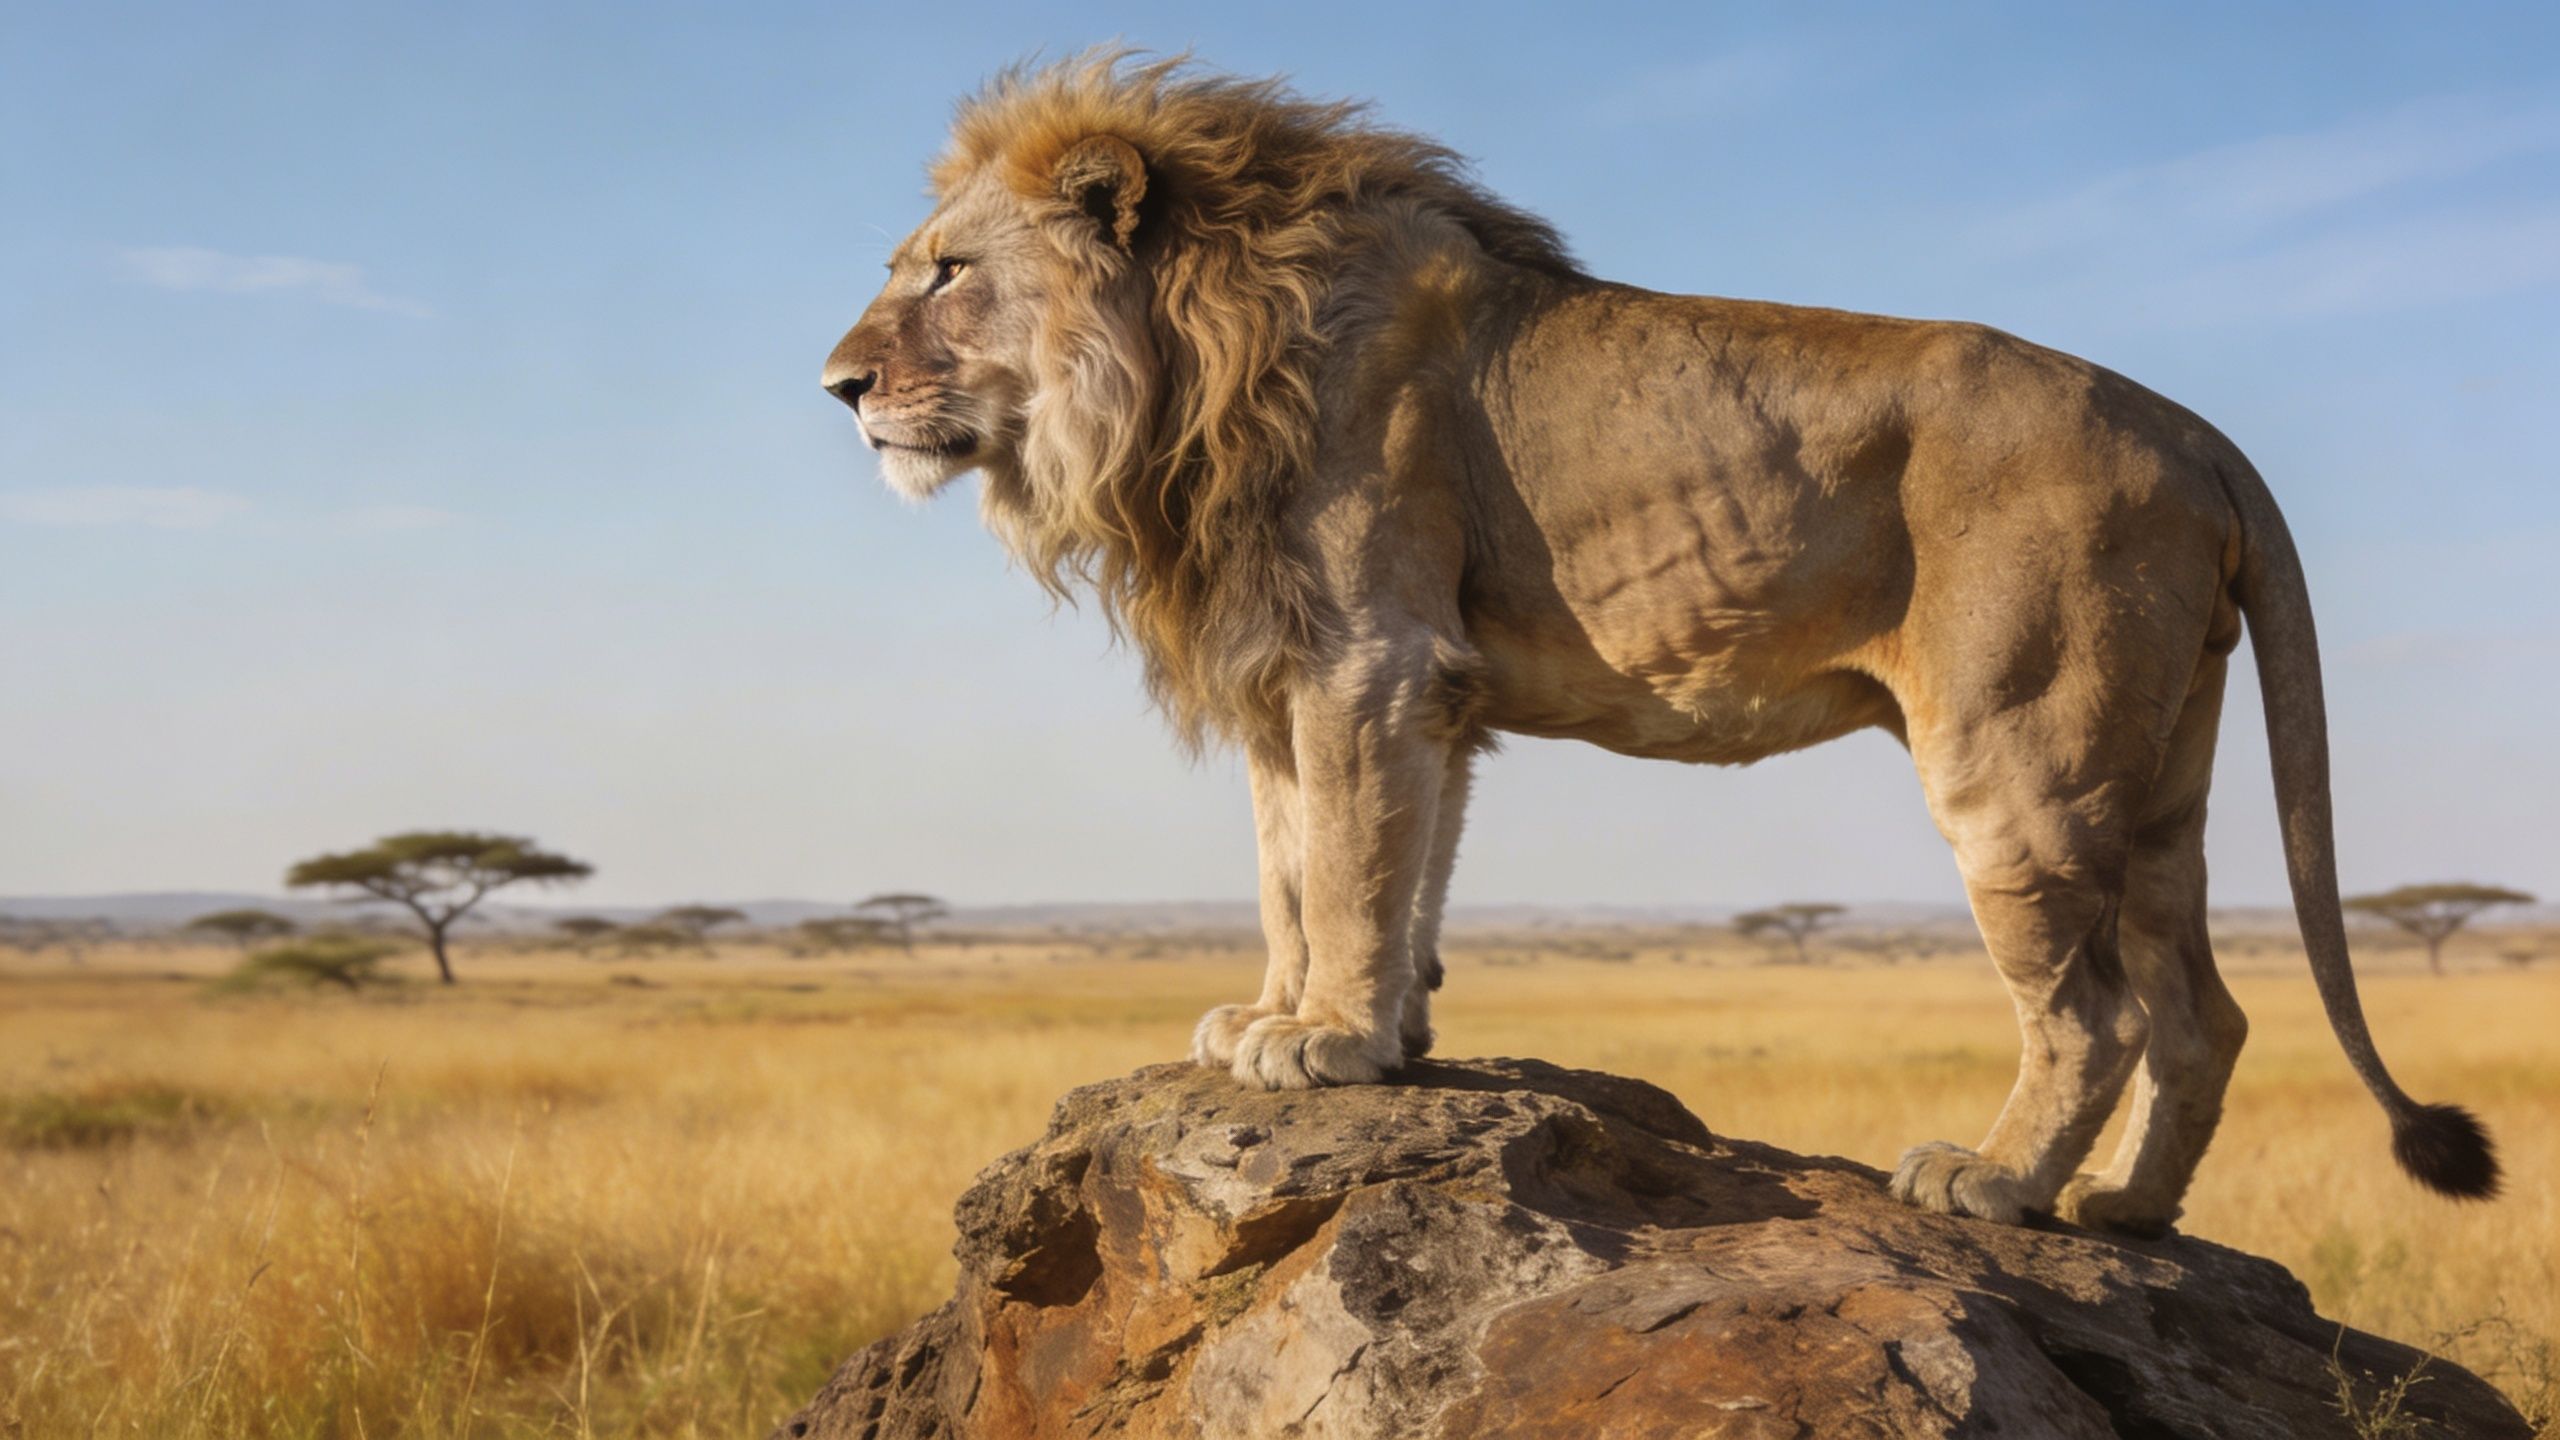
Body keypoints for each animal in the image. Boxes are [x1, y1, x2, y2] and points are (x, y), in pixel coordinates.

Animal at [819, 54, 2497, 1234]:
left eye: (947, 272)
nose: (836, 385)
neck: (1179, 361)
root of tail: (2196, 428)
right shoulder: (1350, 678)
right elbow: (1325, 865)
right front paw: (1327, 1022)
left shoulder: (1366, 655)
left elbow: (1344, 864)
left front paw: (1327, 1042)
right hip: (2153, 767)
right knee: (2202, 1011)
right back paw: (2130, 1210)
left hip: (2023, 749)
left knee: (2096, 1012)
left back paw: (2000, 1186)